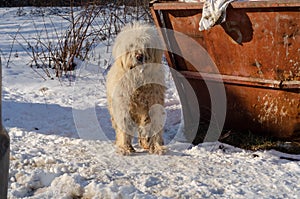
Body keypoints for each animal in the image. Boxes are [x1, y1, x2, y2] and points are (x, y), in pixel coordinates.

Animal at [106, 22, 166, 155]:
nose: (139, 56)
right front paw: (125, 147)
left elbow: (153, 125)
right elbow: (124, 126)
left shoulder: (153, 104)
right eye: (131, 45)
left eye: (146, 46)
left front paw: (156, 147)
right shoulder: (123, 106)